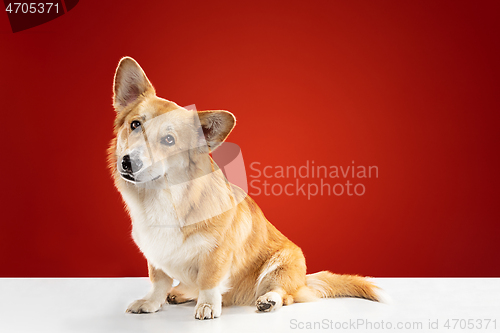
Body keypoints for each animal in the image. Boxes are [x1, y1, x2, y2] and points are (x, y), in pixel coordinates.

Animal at [108, 57, 382, 320]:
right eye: (135, 125)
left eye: (168, 140)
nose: (129, 162)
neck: (162, 197)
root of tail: (304, 281)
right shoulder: (156, 255)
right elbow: (159, 282)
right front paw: (151, 303)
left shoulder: (217, 253)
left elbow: (209, 281)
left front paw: (207, 306)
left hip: (281, 264)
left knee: (284, 294)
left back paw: (268, 300)